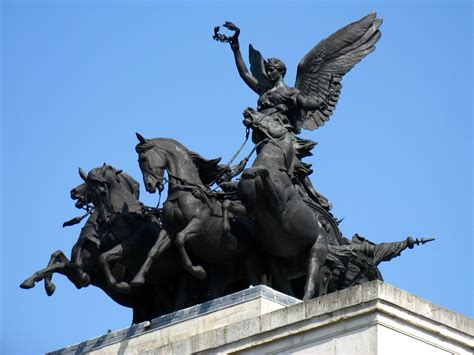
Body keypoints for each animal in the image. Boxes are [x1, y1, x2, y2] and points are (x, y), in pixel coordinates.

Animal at [131, 134, 262, 294]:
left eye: (143, 159)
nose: (150, 186)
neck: (184, 191)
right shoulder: (169, 229)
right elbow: (154, 250)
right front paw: (138, 278)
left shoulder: (198, 224)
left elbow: (180, 239)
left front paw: (198, 271)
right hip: (224, 265)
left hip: (251, 259)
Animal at [220, 112, 342, 300]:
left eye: (276, 120)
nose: (248, 111)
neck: (273, 164)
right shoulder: (250, 208)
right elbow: (227, 204)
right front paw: (227, 233)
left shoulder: (279, 206)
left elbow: (262, 173)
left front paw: (246, 172)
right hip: (277, 261)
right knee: (286, 287)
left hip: (316, 252)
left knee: (310, 283)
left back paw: (304, 300)